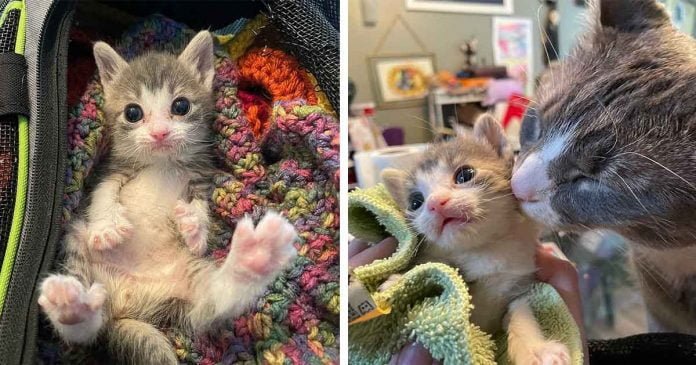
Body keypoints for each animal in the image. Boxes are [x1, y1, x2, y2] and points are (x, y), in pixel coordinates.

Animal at [36, 32, 296, 364]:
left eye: (181, 105)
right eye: (133, 113)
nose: (159, 132)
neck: (162, 162)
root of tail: (125, 303)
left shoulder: (200, 176)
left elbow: (199, 204)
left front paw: (194, 228)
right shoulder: (110, 170)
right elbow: (103, 194)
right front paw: (107, 227)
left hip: (187, 282)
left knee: (215, 300)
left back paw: (253, 256)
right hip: (76, 246)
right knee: (82, 331)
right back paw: (71, 307)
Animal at [380, 115, 572, 364]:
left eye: (465, 174)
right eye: (415, 202)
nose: (435, 203)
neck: (482, 251)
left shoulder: (518, 282)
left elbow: (521, 311)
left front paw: (537, 350)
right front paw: (399, 280)